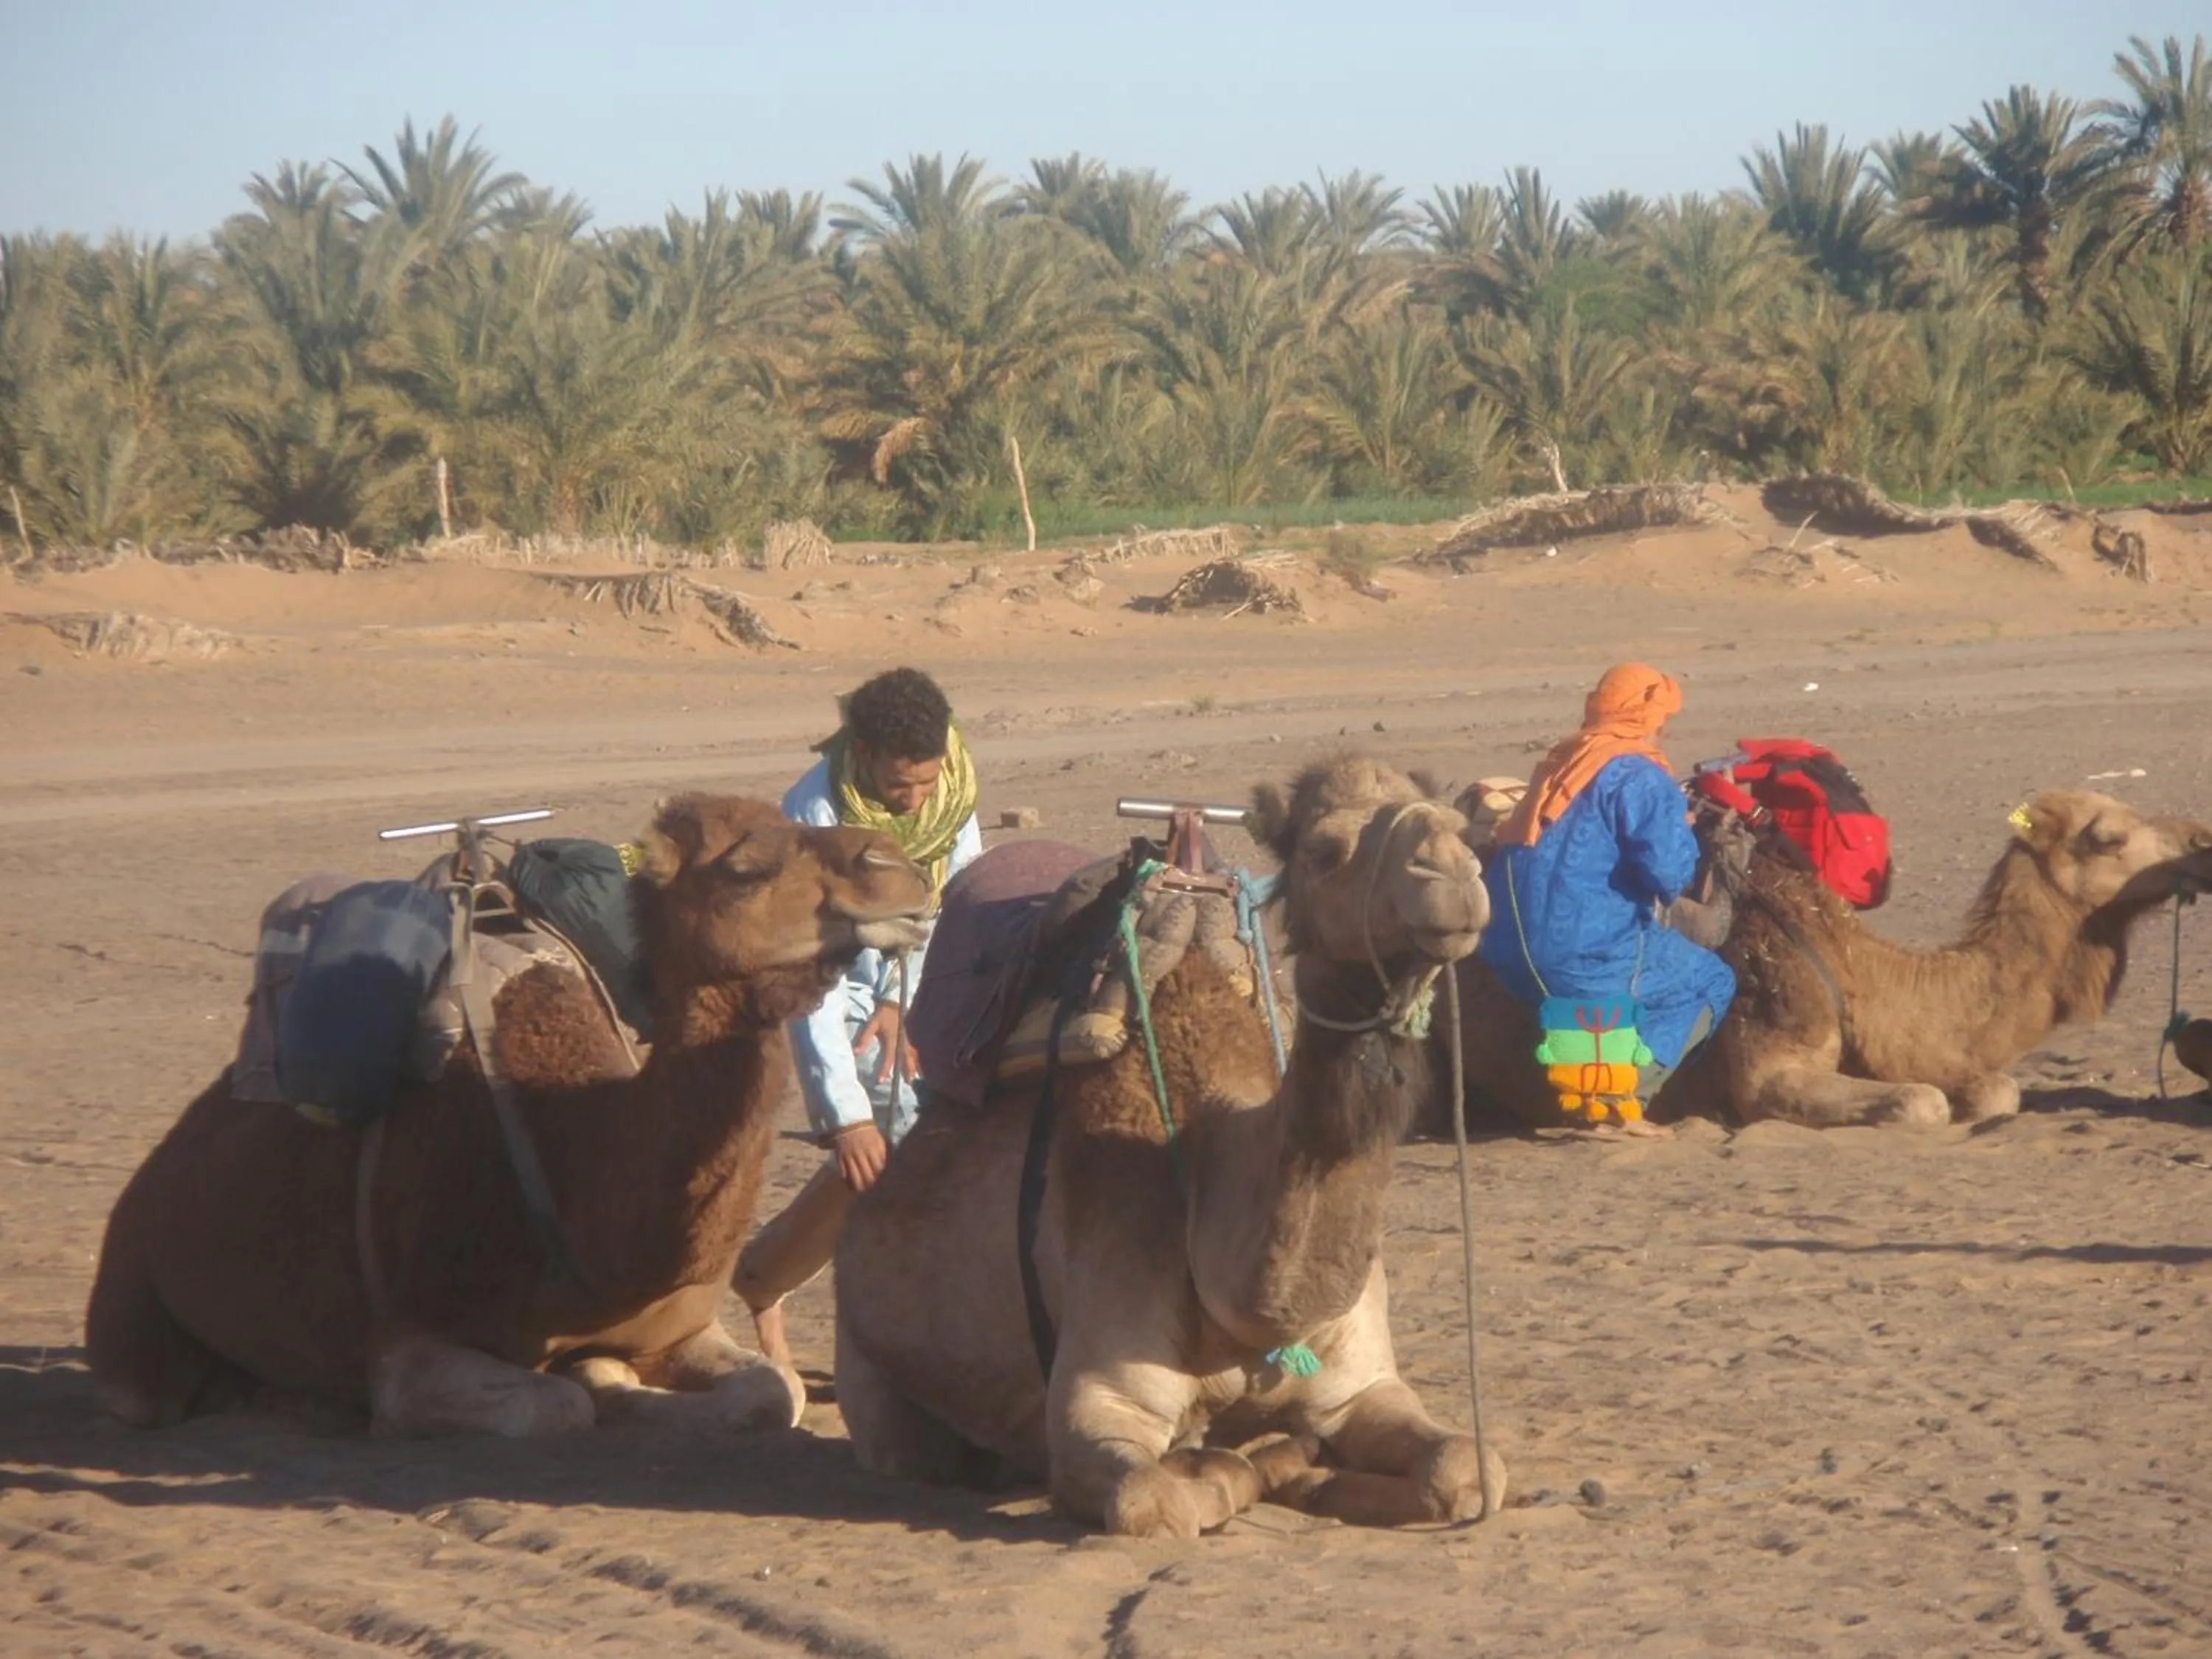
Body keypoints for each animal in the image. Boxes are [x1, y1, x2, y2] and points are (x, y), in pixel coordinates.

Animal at [86, 795, 931, 1437]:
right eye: (746, 867)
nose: (900, 869)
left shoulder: (684, 1326)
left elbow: (772, 1394)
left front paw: (609, 1372)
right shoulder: (411, 1347)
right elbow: (553, 1406)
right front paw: (594, 1383)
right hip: (132, 1299)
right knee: (145, 1390)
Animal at [832, 755, 1507, 1538]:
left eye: (1462, 828)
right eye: (1324, 851)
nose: (1452, 874)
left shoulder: (1360, 1387)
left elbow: (1467, 1469)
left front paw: (1311, 1469)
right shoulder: (1100, 1399)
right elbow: (1154, 1498)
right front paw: (1232, 1464)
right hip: (873, 1379)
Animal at [1444, 790, 2212, 1131]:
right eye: (2108, 836)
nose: (2202, 839)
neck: (1860, 973)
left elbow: (1993, 1088)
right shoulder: (1770, 1068)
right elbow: (1922, 1102)